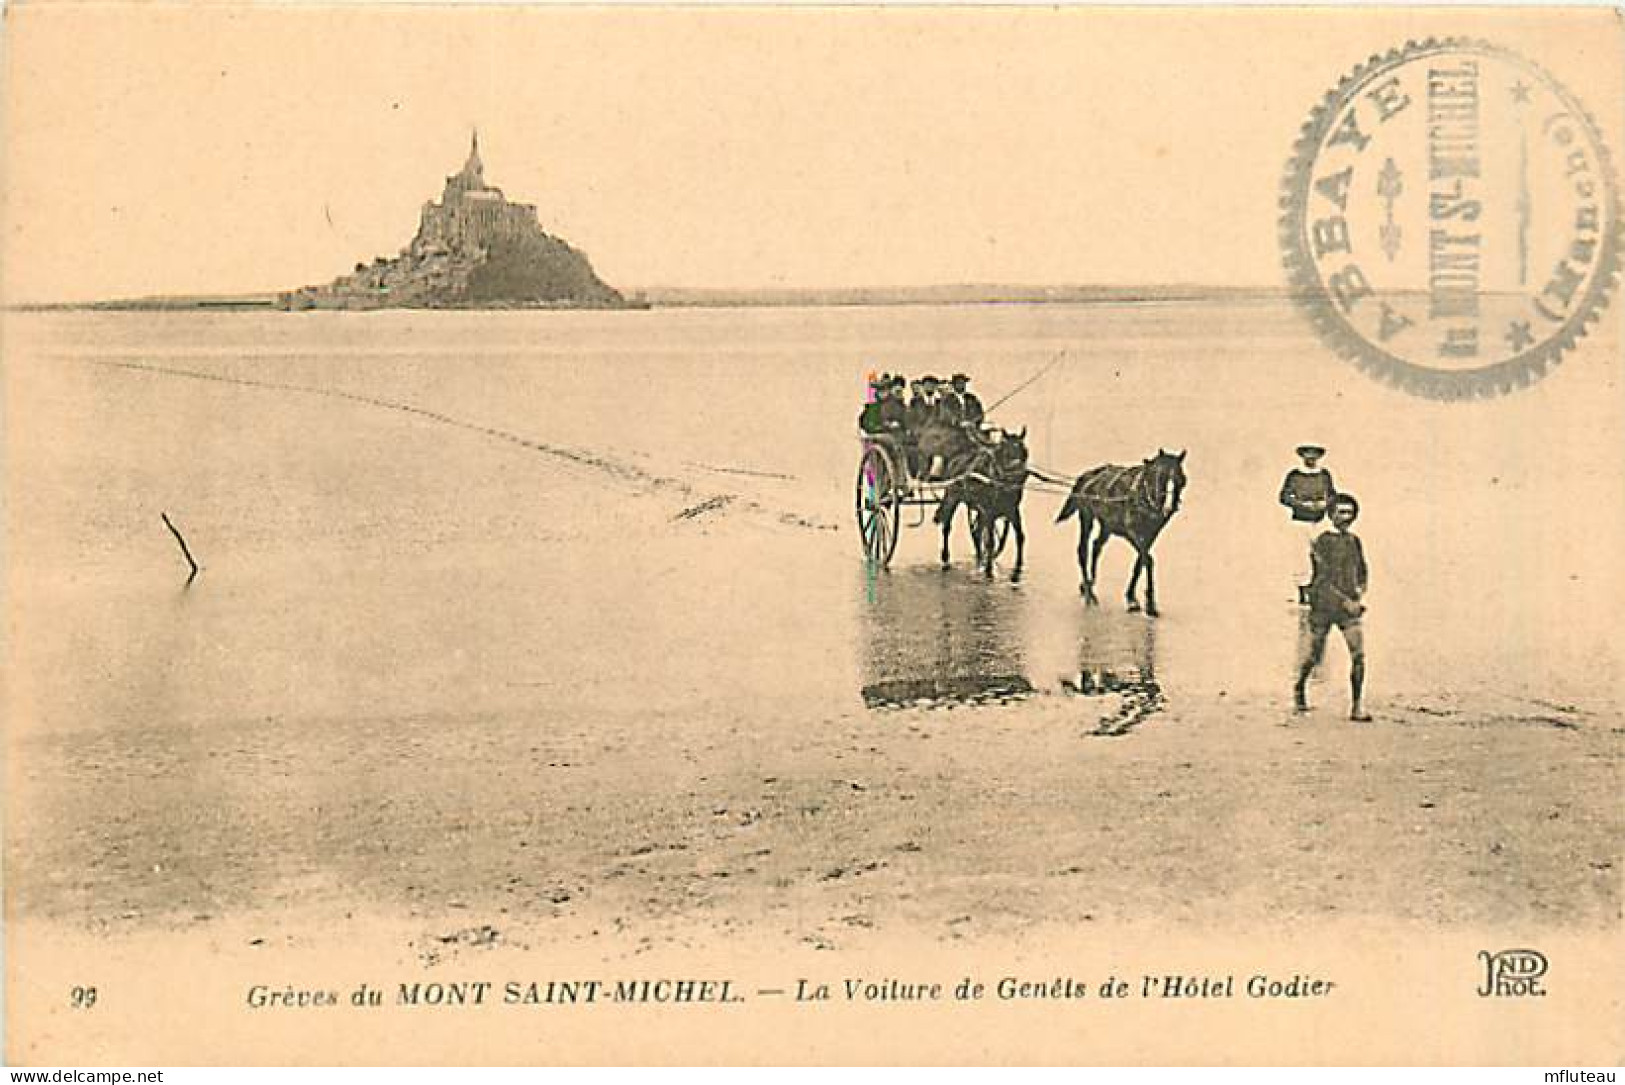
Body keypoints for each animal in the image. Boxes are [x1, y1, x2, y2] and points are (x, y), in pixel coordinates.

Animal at [936, 428, 1033, 581]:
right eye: (1007, 452)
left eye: (1025, 451)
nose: (1020, 473)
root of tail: (955, 460)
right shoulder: (989, 511)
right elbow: (990, 541)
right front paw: (989, 571)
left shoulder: (1012, 510)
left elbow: (1020, 536)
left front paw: (1018, 567)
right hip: (953, 498)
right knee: (947, 527)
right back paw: (946, 558)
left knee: (977, 532)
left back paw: (980, 558)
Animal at [1053, 448, 1183, 613]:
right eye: (1159, 476)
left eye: (1180, 478)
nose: (1168, 508)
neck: (1143, 495)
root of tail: (1088, 475)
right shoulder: (1132, 533)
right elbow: (1148, 560)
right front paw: (1148, 603)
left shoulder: (1151, 534)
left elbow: (1140, 562)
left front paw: (1132, 597)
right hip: (1087, 517)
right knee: (1083, 550)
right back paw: (1089, 593)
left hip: (1107, 525)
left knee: (1096, 546)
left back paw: (1089, 583)